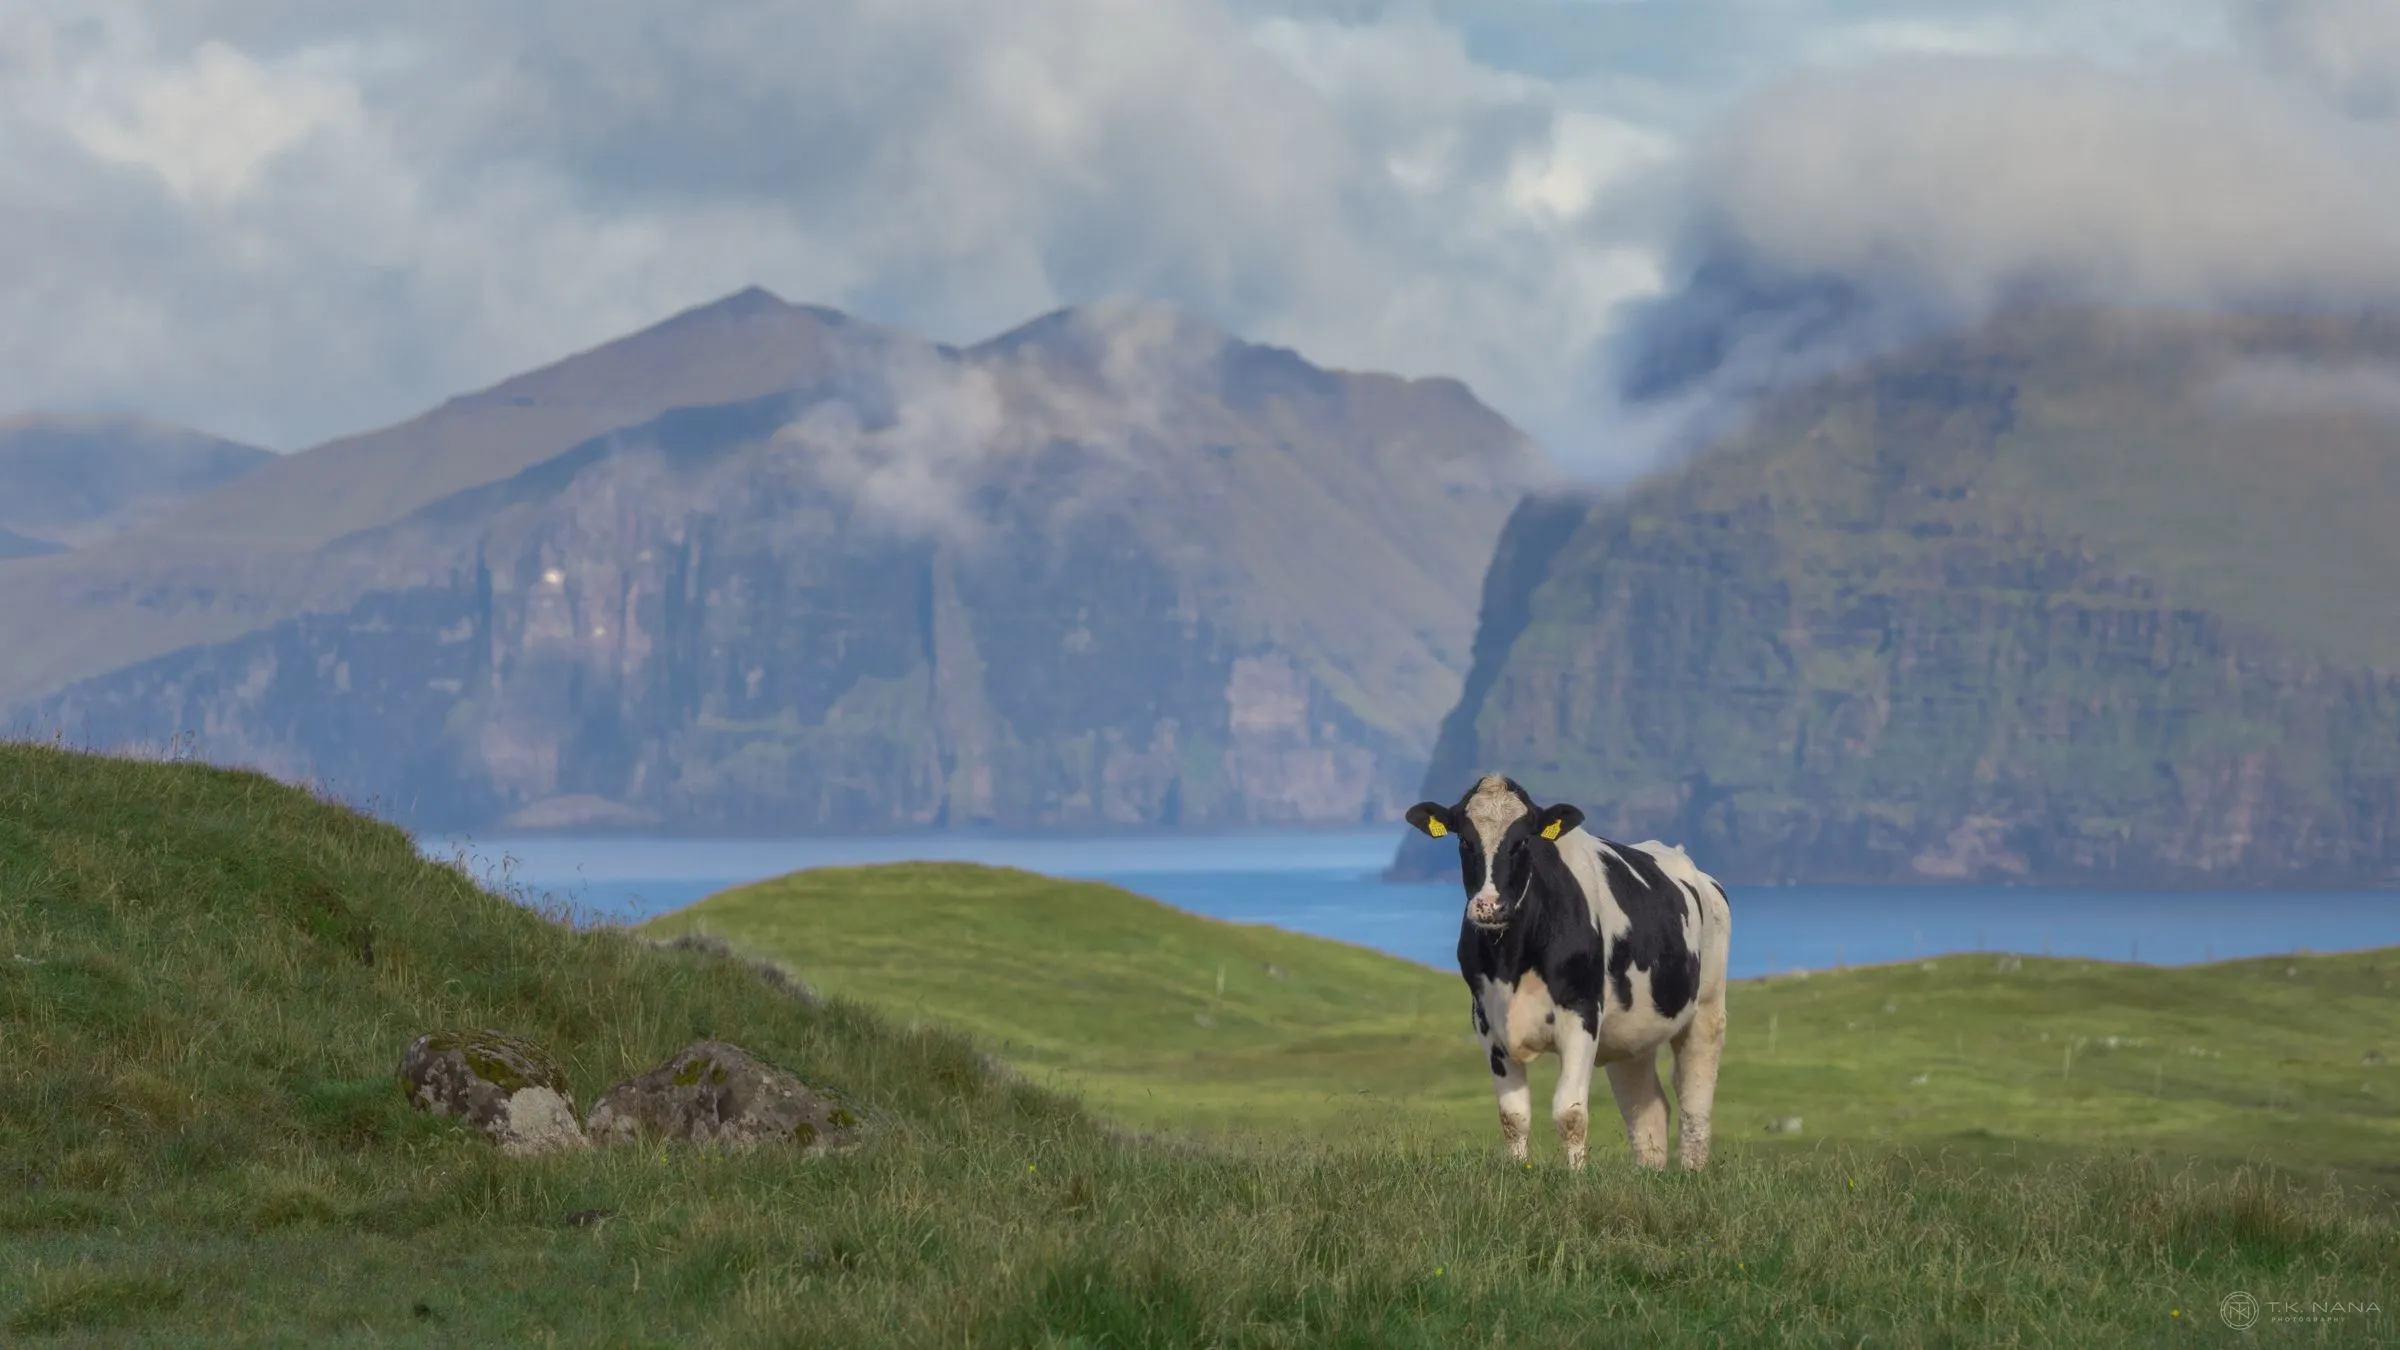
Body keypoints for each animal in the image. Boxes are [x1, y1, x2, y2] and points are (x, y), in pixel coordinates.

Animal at [1406, 774, 1731, 1170]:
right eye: (1464, 840)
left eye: (1522, 841)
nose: (1489, 906)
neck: (1511, 960)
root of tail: (1693, 868)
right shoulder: (1485, 1021)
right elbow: (1513, 1116)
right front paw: (1518, 1171)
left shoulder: (1581, 1011)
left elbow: (1570, 1113)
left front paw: (1577, 1176)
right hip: (1632, 1034)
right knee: (1648, 1109)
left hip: (1707, 1009)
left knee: (1694, 1102)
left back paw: (1690, 1171)